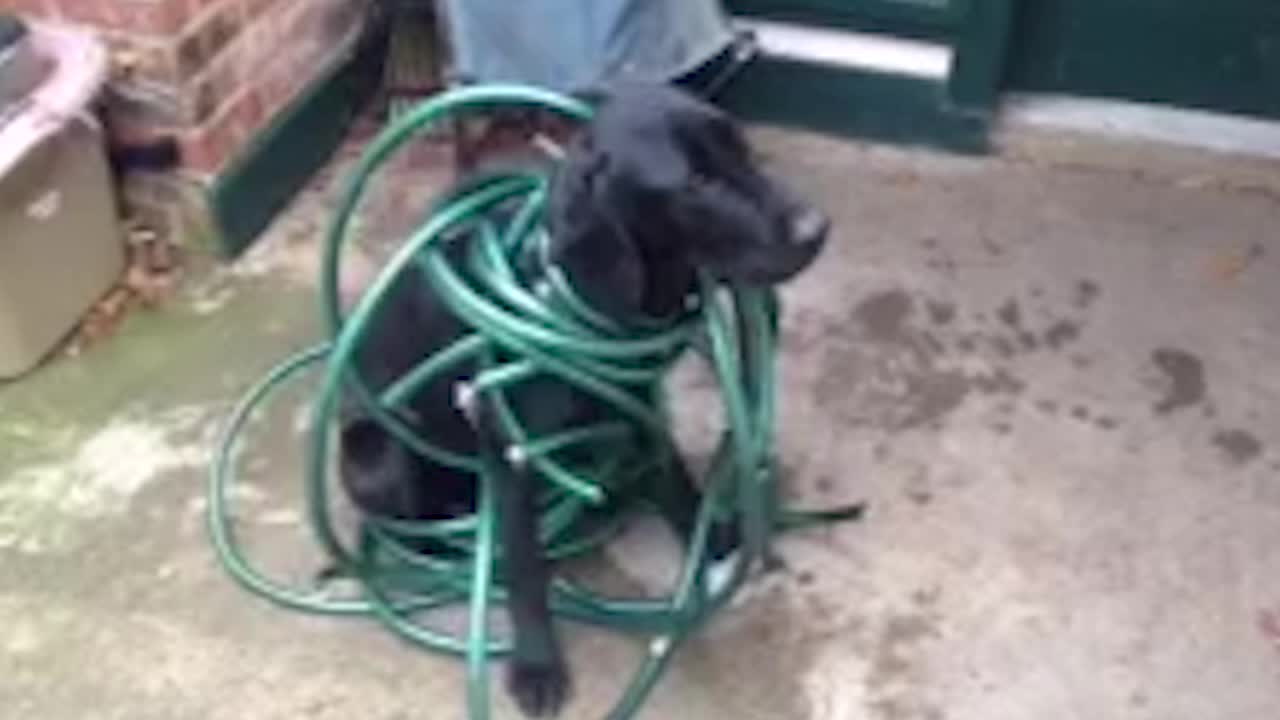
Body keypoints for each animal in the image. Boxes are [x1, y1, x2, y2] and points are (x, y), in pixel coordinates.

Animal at [207, 83, 860, 717]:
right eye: (698, 182)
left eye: (743, 150)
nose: (819, 228)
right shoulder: (511, 455)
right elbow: (524, 568)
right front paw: (538, 665)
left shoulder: (635, 405)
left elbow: (678, 483)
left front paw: (721, 537)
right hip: (378, 457)